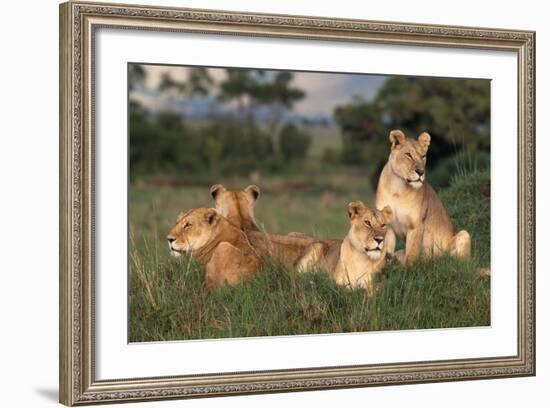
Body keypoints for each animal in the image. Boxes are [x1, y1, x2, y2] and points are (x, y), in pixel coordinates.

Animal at [378, 129, 472, 266]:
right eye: (408, 155)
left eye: (423, 156)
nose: (421, 172)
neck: (398, 187)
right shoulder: (387, 225)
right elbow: (385, 252)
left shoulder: (416, 224)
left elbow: (412, 253)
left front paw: (407, 270)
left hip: (463, 235)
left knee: (455, 262)